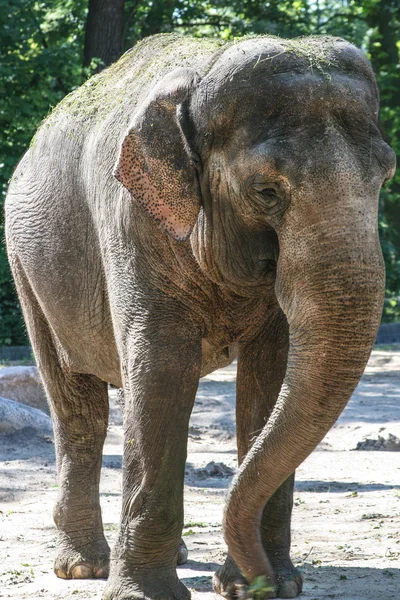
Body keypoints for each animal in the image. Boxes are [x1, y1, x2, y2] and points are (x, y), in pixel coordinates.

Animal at [4, 32, 396, 600]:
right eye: (266, 191)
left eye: (386, 175)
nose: (256, 584)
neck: (203, 72)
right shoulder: (133, 224)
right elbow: (162, 372)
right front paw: (146, 594)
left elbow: (271, 376)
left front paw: (272, 584)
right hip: (25, 264)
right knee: (77, 404)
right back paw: (85, 568)